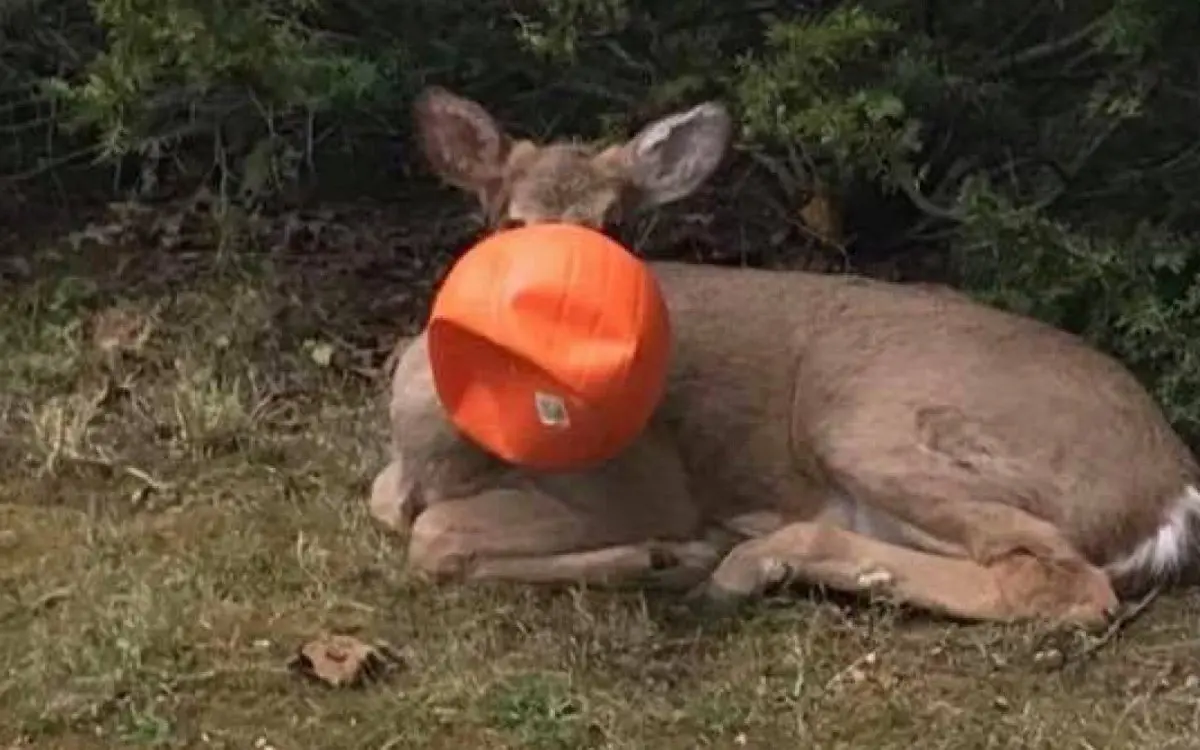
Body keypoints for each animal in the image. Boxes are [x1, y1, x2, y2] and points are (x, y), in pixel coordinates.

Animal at [367, 86, 1200, 624]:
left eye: (617, 226)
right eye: (511, 222)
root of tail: (1173, 488)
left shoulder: (642, 480)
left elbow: (433, 537)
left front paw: (659, 555)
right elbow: (392, 511)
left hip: (874, 423)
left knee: (1064, 584)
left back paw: (730, 563)